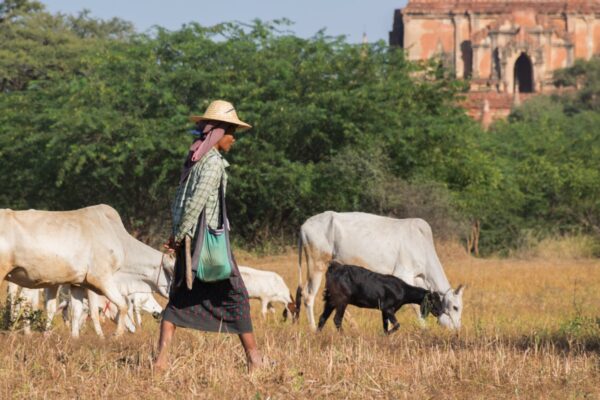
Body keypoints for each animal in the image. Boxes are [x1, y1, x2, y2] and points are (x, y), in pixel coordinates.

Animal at [0, 205, 173, 336]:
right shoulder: (102, 280)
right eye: (173, 271)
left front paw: (75, 337)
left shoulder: (78, 284)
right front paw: (115, 335)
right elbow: (120, 306)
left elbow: (76, 313)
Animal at [298, 212, 466, 332]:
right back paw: (313, 328)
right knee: (308, 295)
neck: (422, 244)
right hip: (317, 264)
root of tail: (304, 225)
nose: (456, 330)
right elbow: (414, 306)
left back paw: (353, 326)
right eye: (455, 307)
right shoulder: (402, 274)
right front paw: (423, 328)